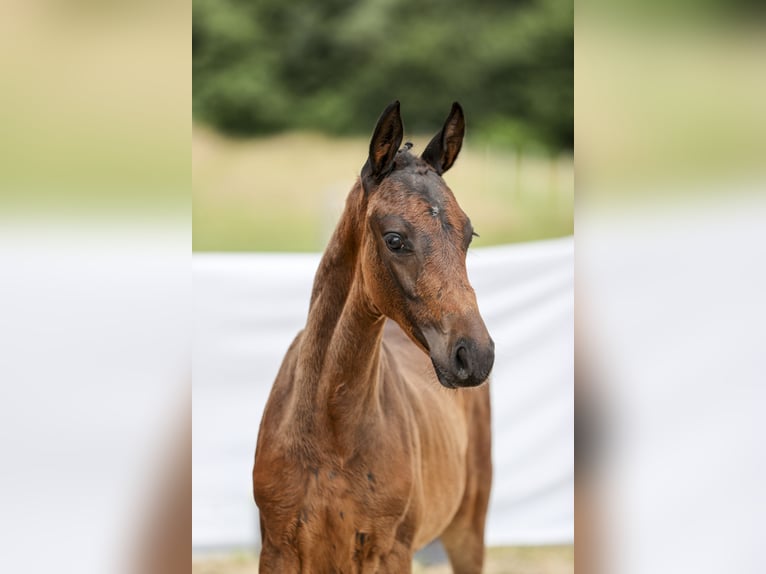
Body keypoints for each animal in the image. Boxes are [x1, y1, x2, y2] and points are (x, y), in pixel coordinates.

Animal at [254, 101, 498, 572]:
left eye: (469, 234)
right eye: (395, 239)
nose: (475, 355)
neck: (330, 433)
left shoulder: (388, 551)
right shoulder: (277, 550)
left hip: (467, 530)